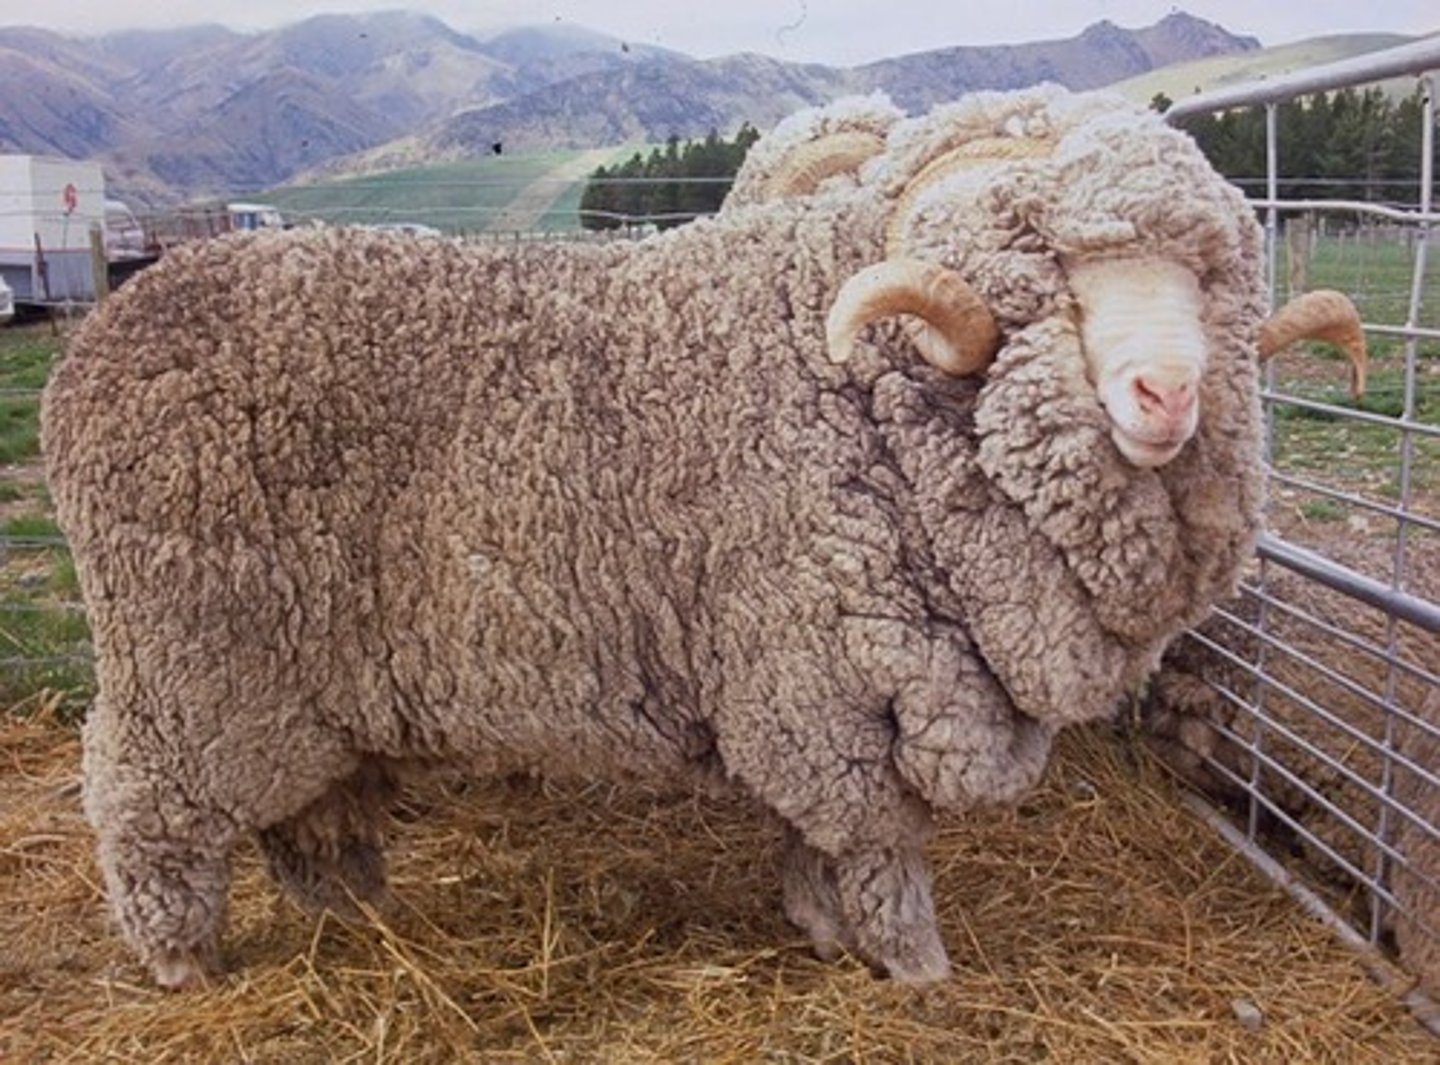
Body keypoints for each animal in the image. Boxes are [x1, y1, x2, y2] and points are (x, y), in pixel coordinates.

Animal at [41, 85, 1366, 990]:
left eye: (1209, 276)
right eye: (1045, 275)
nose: (1166, 396)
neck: (852, 377)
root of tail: (94, 344)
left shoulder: (810, 690)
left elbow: (817, 841)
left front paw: (819, 925)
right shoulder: (821, 677)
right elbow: (880, 847)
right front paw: (915, 969)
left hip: (293, 682)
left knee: (304, 809)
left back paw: (345, 904)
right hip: (190, 663)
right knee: (141, 804)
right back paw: (180, 961)